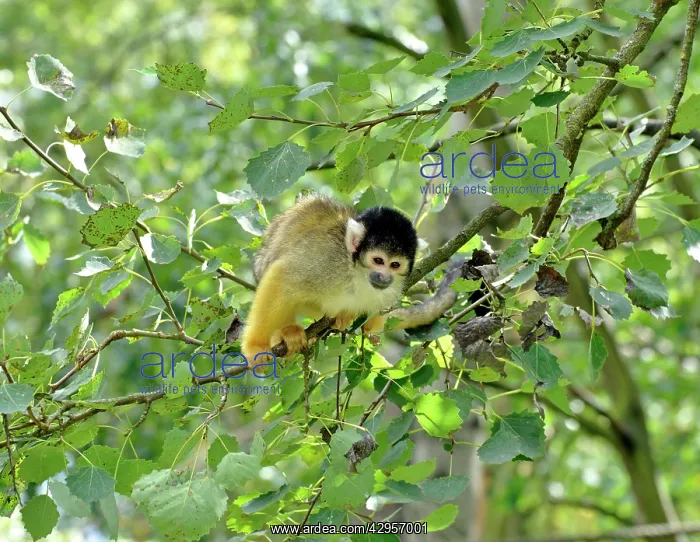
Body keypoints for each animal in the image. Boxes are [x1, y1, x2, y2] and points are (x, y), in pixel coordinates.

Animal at [240, 195, 420, 365]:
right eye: (378, 260)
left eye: (395, 264)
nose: (384, 277)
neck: (356, 272)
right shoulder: (328, 260)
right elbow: (282, 275)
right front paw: (255, 346)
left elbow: (372, 323)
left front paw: (356, 318)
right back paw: (286, 331)